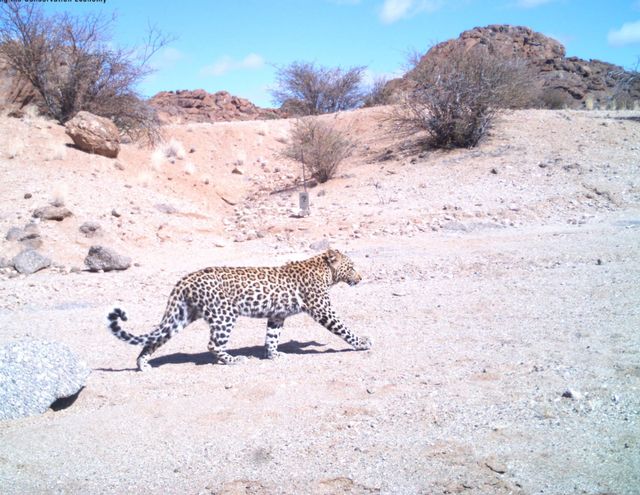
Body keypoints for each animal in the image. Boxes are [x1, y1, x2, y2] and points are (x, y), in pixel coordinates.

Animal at [107, 249, 371, 371]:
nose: (360, 278)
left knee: (155, 338)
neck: (325, 272)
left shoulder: (277, 316)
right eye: (351, 267)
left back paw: (143, 364)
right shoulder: (323, 310)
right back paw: (233, 359)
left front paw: (273, 355)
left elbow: (272, 337)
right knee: (212, 344)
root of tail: (185, 280)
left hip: (182, 316)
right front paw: (362, 342)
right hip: (224, 315)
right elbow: (344, 329)